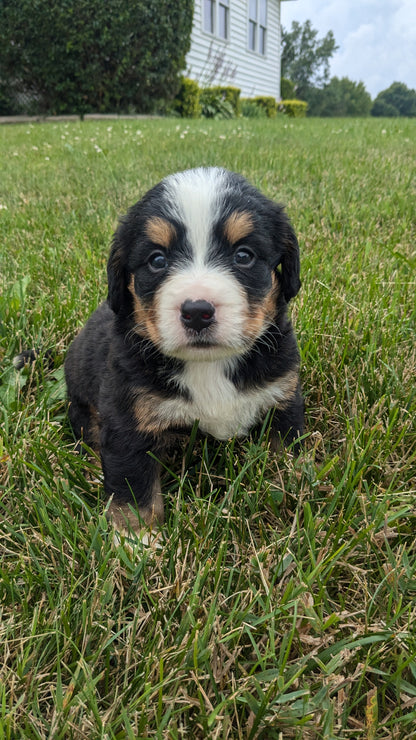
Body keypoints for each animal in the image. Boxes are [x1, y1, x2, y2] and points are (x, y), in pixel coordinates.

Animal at [65, 169, 306, 532]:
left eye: (243, 255)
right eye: (157, 260)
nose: (197, 311)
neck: (208, 365)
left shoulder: (283, 397)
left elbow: (287, 457)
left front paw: (294, 492)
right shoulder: (127, 419)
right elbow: (133, 489)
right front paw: (138, 539)